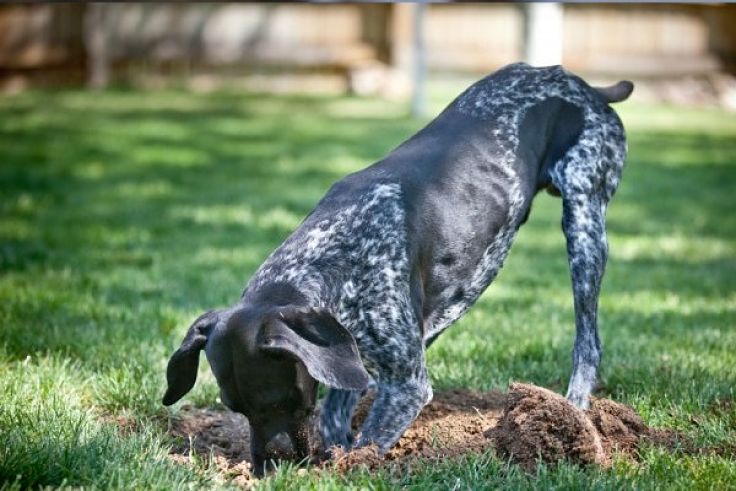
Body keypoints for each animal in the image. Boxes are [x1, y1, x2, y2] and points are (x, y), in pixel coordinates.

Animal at [161, 63, 632, 474]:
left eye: (281, 402)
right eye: (235, 409)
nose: (269, 470)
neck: (327, 257)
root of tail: (585, 86)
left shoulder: (406, 386)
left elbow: (365, 443)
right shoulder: (350, 356)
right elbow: (336, 419)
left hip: (584, 222)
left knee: (588, 342)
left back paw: (576, 413)